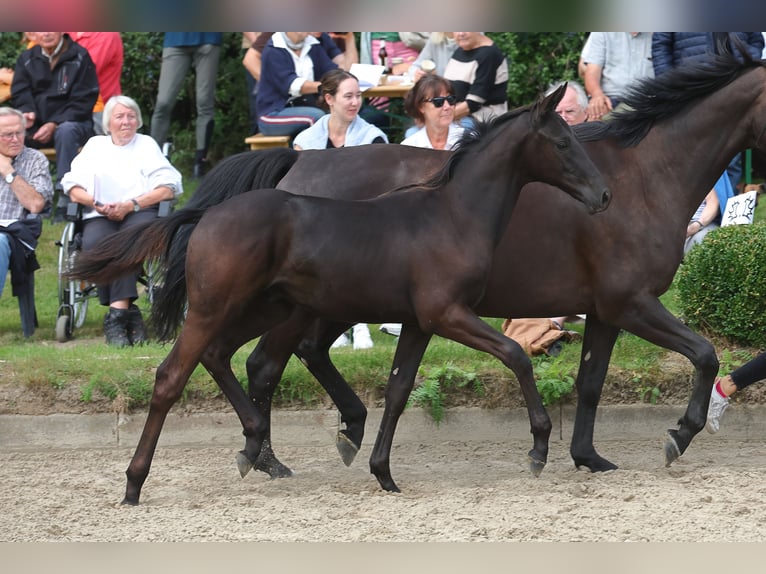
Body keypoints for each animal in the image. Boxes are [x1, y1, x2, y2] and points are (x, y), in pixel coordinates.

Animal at [165, 53, 766, 486]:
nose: (601, 197)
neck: (645, 176)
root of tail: (298, 160)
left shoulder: (602, 311)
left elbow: (592, 382)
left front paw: (588, 456)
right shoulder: (631, 302)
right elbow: (705, 354)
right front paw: (679, 435)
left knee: (294, 356)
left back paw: (325, 438)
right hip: (301, 306)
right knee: (266, 364)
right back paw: (269, 455)